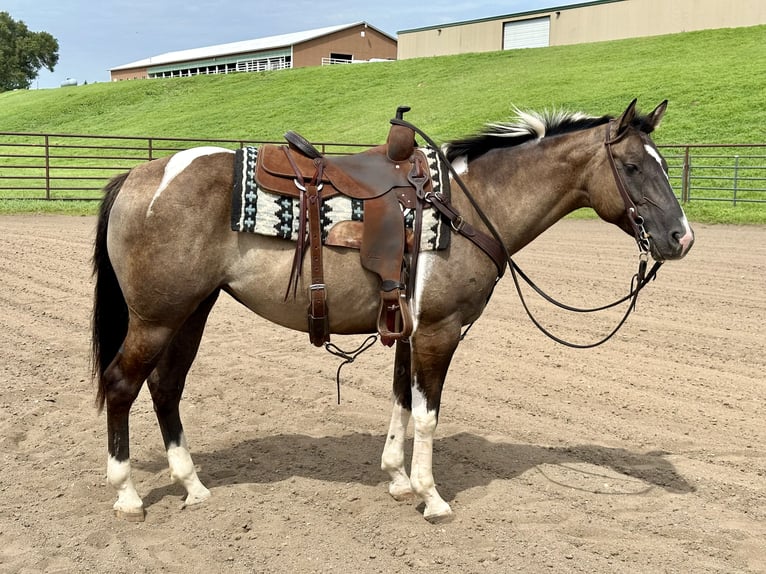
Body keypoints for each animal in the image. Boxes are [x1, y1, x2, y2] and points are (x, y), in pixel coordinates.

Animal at [91, 100, 696, 528]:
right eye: (634, 166)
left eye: (664, 164)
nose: (681, 238)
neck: (469, 205)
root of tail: (138, 177)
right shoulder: (439, 332)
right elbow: (428, 414)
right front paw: (432, 497)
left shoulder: (410, 329)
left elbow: (402, 401)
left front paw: (398, 479)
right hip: (157, 317)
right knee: (122, 384)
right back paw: (127, 495)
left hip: (192, 311)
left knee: (166, 387)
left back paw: (193, 486)